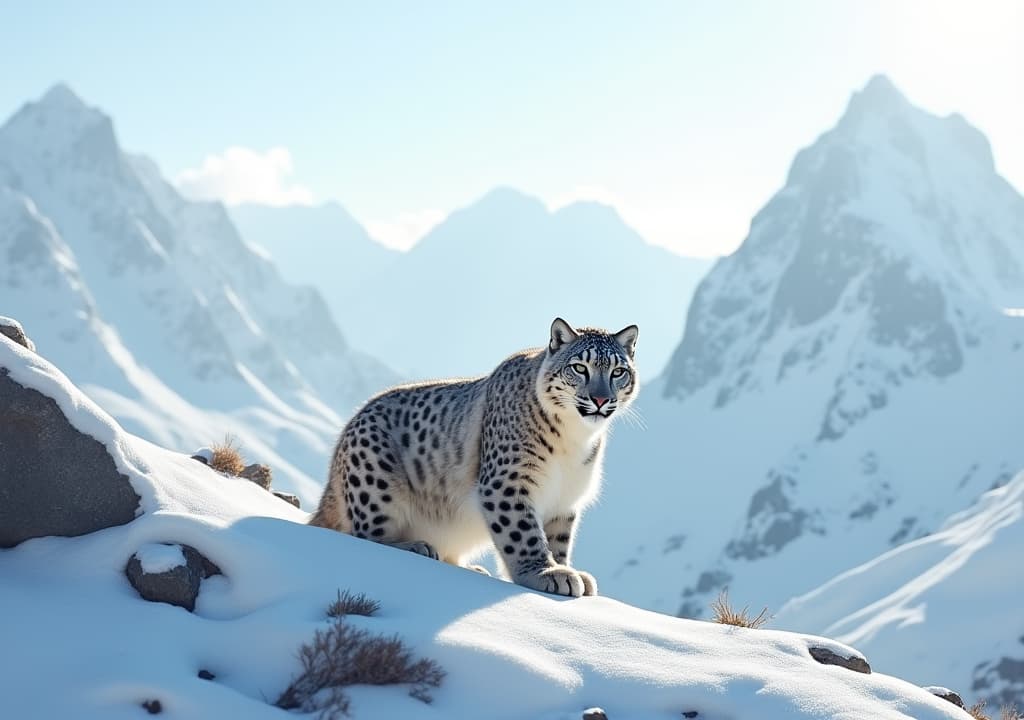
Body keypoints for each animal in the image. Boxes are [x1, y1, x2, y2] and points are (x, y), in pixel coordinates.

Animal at [307, 317, 634, 598]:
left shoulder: (565, 499)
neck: (574, 439)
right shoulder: (508, 482)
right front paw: (546, 573)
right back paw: (417, 546)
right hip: (375, 481)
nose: (600, 399)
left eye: (618, 372)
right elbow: (524, 534)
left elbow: (558, 540)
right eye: (579, 367)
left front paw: (565, 568)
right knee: (366, 535)